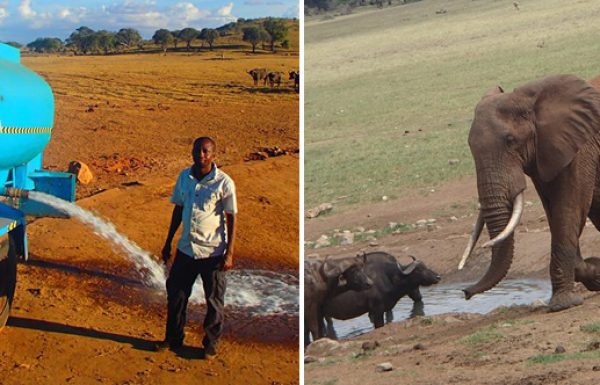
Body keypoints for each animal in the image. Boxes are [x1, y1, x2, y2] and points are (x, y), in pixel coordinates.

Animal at [462, 74, 600, 312]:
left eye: (510, 140)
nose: (465, 293)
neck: (529, 99)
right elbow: (554, 211)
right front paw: (595, 274)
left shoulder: (581, 146)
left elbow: (569, 207)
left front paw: (563, 304)